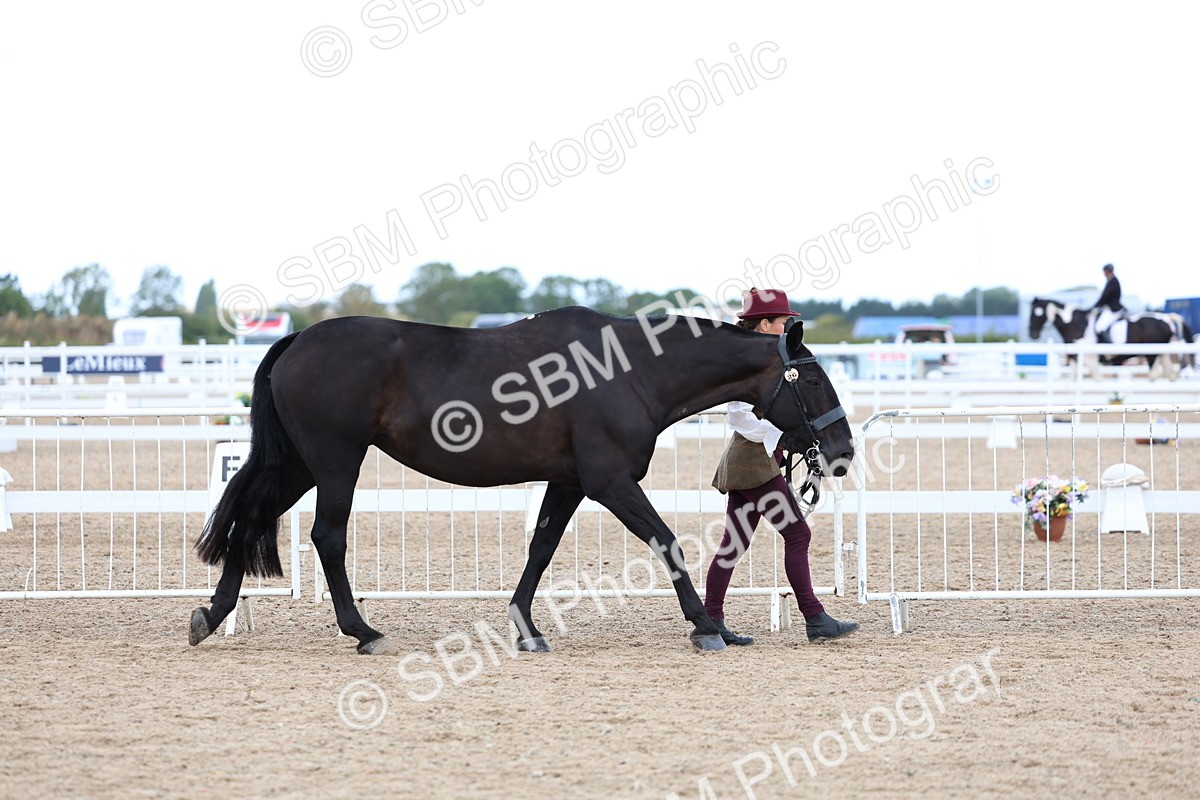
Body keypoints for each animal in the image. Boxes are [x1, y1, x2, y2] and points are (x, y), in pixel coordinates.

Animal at [190, 307, 855, 654]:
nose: (842, 452)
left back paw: (212, 614)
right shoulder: (611, 481)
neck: (629, 371)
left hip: (303, 464)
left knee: (250, 515)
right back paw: (363, 631)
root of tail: (300, 338)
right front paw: (706, 627)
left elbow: (541, 547)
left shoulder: (570, 482)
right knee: (326, 537)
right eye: (813, 378)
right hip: (334, 463)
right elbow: (665, 541)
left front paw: (527, 629)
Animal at [1028, 297, 1195, 378]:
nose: (1032, 333)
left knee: (1155, 375)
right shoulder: (1075, 358)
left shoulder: (1090, 359)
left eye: (1036, 313)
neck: (1076, 325)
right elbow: (1072, 379)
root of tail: (1166, 318)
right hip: (1163, 354)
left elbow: (1098, 379)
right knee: (1170, 376)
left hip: (1151, 354)